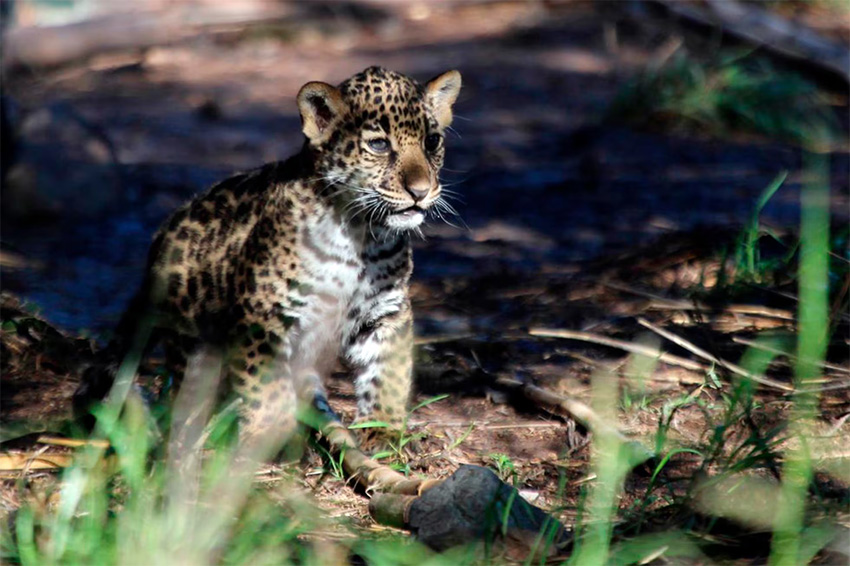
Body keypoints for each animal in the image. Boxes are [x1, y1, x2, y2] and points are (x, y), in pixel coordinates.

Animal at [74, 66, 462, 453]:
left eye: (431, 142)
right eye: (379, 145)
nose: (420, 191)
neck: (360, 236)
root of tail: (160, 239)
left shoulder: (385, 311)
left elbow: (387, 373)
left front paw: (382, 429)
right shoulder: (263, 316)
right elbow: (267, 389)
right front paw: (270, 433)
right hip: (191, 338)